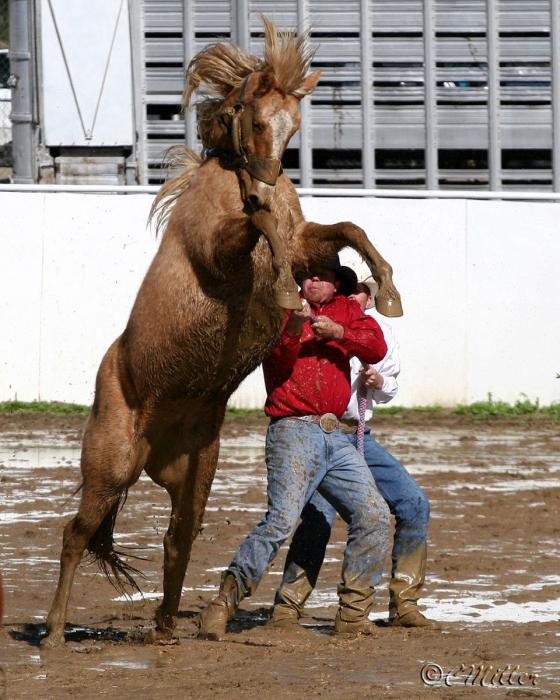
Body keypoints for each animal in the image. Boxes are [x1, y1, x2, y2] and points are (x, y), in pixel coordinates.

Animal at [43, 17, 402, 644]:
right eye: (255, 118)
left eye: (293, 124)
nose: (265, 182)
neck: (235, 181)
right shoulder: (219, 253)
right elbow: (261, 227)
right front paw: (282, 284)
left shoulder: (307, 243)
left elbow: (345, 227)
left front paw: (386, 287)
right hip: (109, 466)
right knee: (76, 532)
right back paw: (56, 631)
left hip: (194, 476)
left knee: (177, 539)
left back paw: (166, 626)